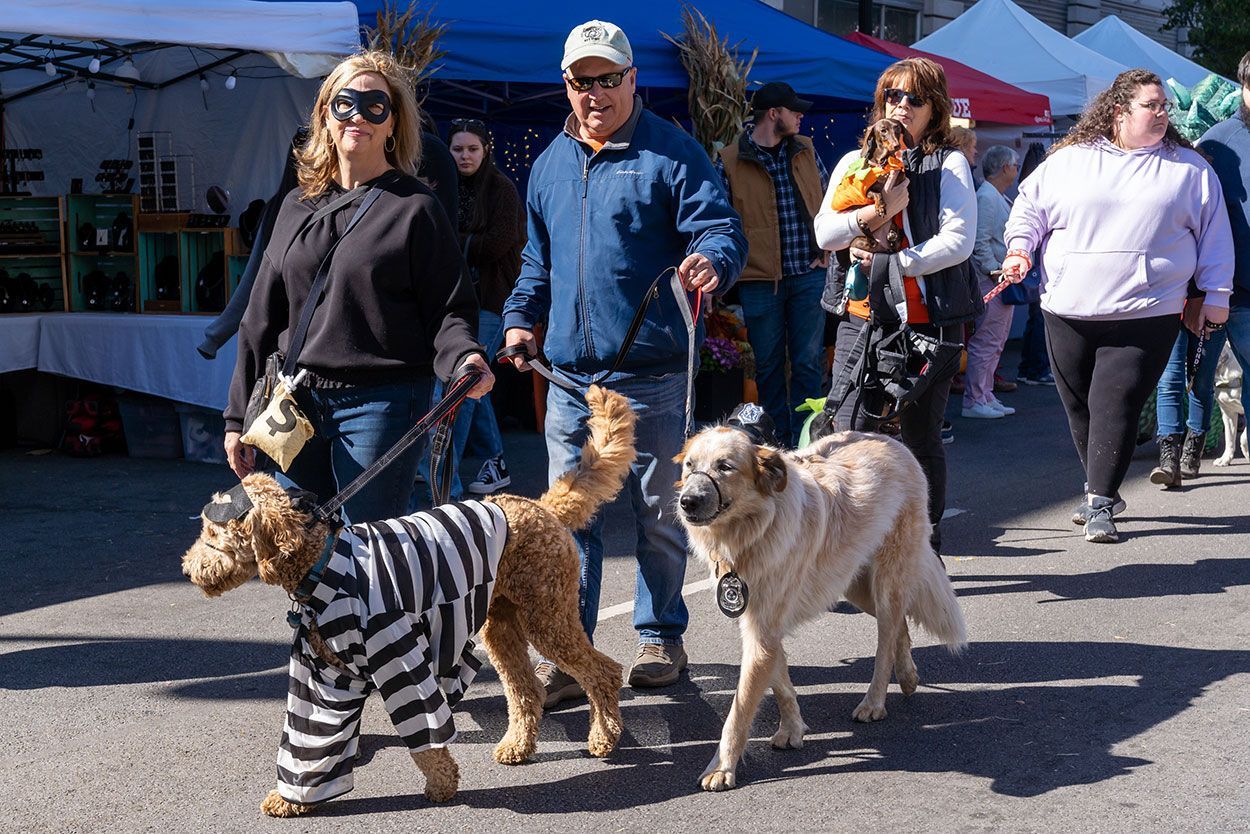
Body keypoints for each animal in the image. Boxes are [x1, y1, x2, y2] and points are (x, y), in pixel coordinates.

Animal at [182, 387, 635, 820]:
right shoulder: (326, 675)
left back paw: (603, 737)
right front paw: (293, 797)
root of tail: (539, 507)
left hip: (547, 614)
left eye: (214, 534)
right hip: (502, 623)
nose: (188, 569)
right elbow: (315, 736)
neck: (323, 560)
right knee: (525, 691)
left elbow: (426, 731)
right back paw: (518, 746)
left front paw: (442, 784)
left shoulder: (397, 651)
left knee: (603, 672)